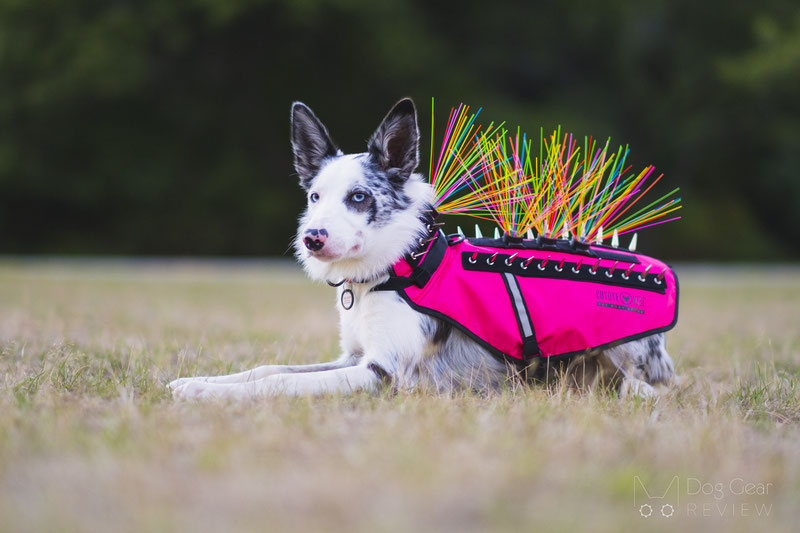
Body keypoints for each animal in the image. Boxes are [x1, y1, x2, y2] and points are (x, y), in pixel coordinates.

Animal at [170, 98, 676, 400]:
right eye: (314, 196)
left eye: (359, 197)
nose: (312, 239)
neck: (392, 270)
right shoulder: (351, 357)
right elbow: (266, 368)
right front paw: (196, 382)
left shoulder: (381, 373)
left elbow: (275, 383)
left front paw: (211, 395)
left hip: (625, 366)